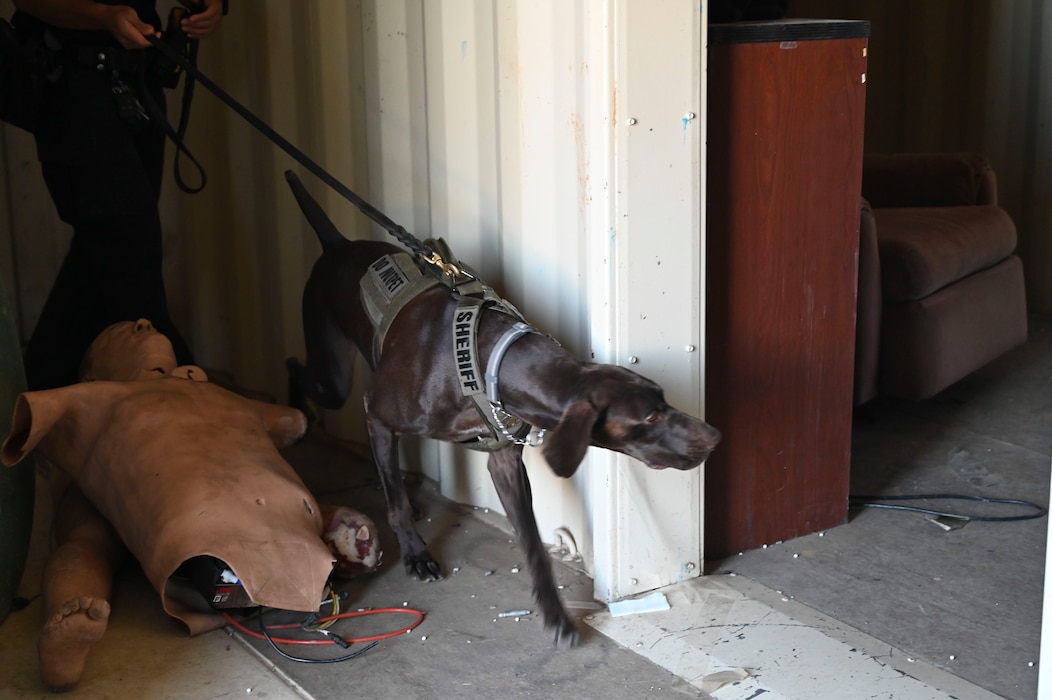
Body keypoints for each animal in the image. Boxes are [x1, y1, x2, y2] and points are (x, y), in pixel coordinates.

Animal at [284, 171, 719, 648]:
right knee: (300, 373)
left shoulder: (505, 460)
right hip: (334, 379)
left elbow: (533, 543)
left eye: (664, 399)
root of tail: (337, 244)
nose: (714, 437)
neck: (486, 360)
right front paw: (416, 553)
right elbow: (395, 498)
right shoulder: (378, 414)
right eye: (650, 418)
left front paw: (554, 613)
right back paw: (295, 419)